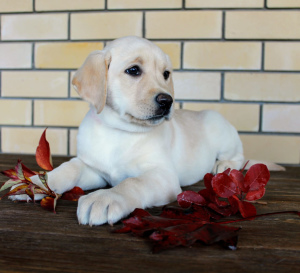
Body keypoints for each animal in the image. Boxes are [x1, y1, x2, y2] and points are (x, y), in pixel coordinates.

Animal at [12, 35, 246, 223]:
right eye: (133, 70)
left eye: (166, 74)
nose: (167, 101)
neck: (119, 131)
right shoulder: (94, 170)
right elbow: (69, 168)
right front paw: (35, 183)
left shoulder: (163, 175)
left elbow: (133, 182)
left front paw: (105, 198)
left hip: (221, 130)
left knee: (240, 158)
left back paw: (223, 165)